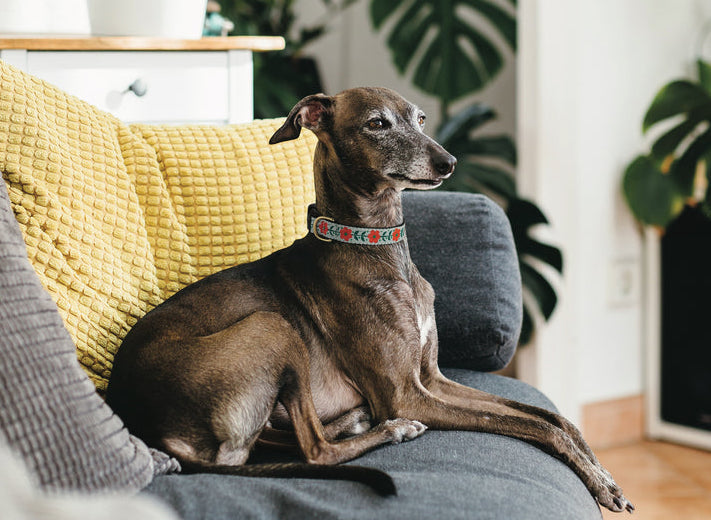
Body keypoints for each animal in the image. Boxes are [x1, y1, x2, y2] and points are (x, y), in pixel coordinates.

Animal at [107, 86, 636, 512]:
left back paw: (357, 421)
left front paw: (603, 479)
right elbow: (538, 428)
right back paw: (389, 429)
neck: (372, 246)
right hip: (271, 326)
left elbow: (554, 418)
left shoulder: (431, 379)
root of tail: (147, 424)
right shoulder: (407, 394)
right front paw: (597, 479)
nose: (448, 162)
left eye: (419, 118)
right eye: (377, 123)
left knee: (287, 439)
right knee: (314, 451)